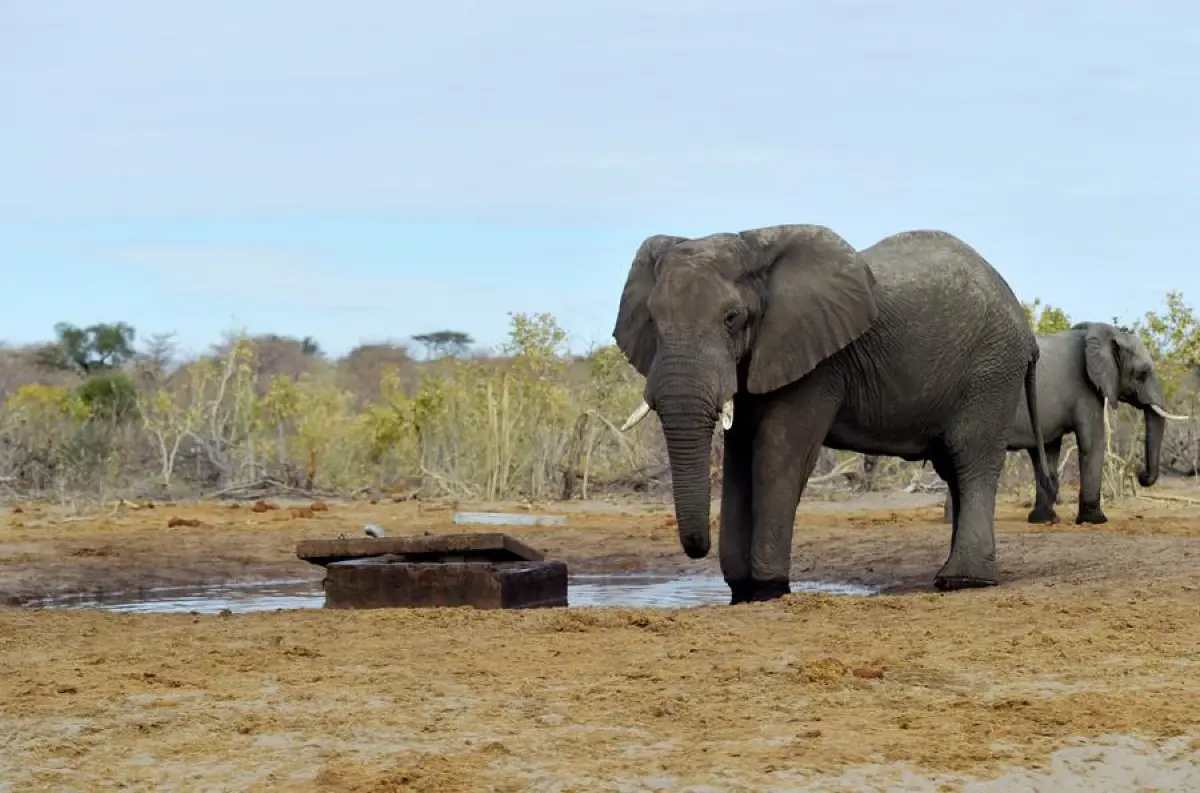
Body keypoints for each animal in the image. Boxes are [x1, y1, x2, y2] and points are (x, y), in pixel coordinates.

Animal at [614, 219, 1056, 602]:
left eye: (731, 318)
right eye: (653, 319)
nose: (696, 548)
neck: (755, 245)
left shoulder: (817, 362)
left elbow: (779, 452)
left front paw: (768, 589)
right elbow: (738, 456)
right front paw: (742, 591)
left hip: (991, 371)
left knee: (971, 458)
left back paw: (963, 580)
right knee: (954, 468)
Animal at [931, 321, 1185, 525]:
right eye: (1142, 374)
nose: (1141, 475)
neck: (1104, 332)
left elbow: (1048, 450)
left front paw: (1044, 520)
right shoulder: (1085, 389)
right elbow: (1092, 442)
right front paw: (1095, 520)